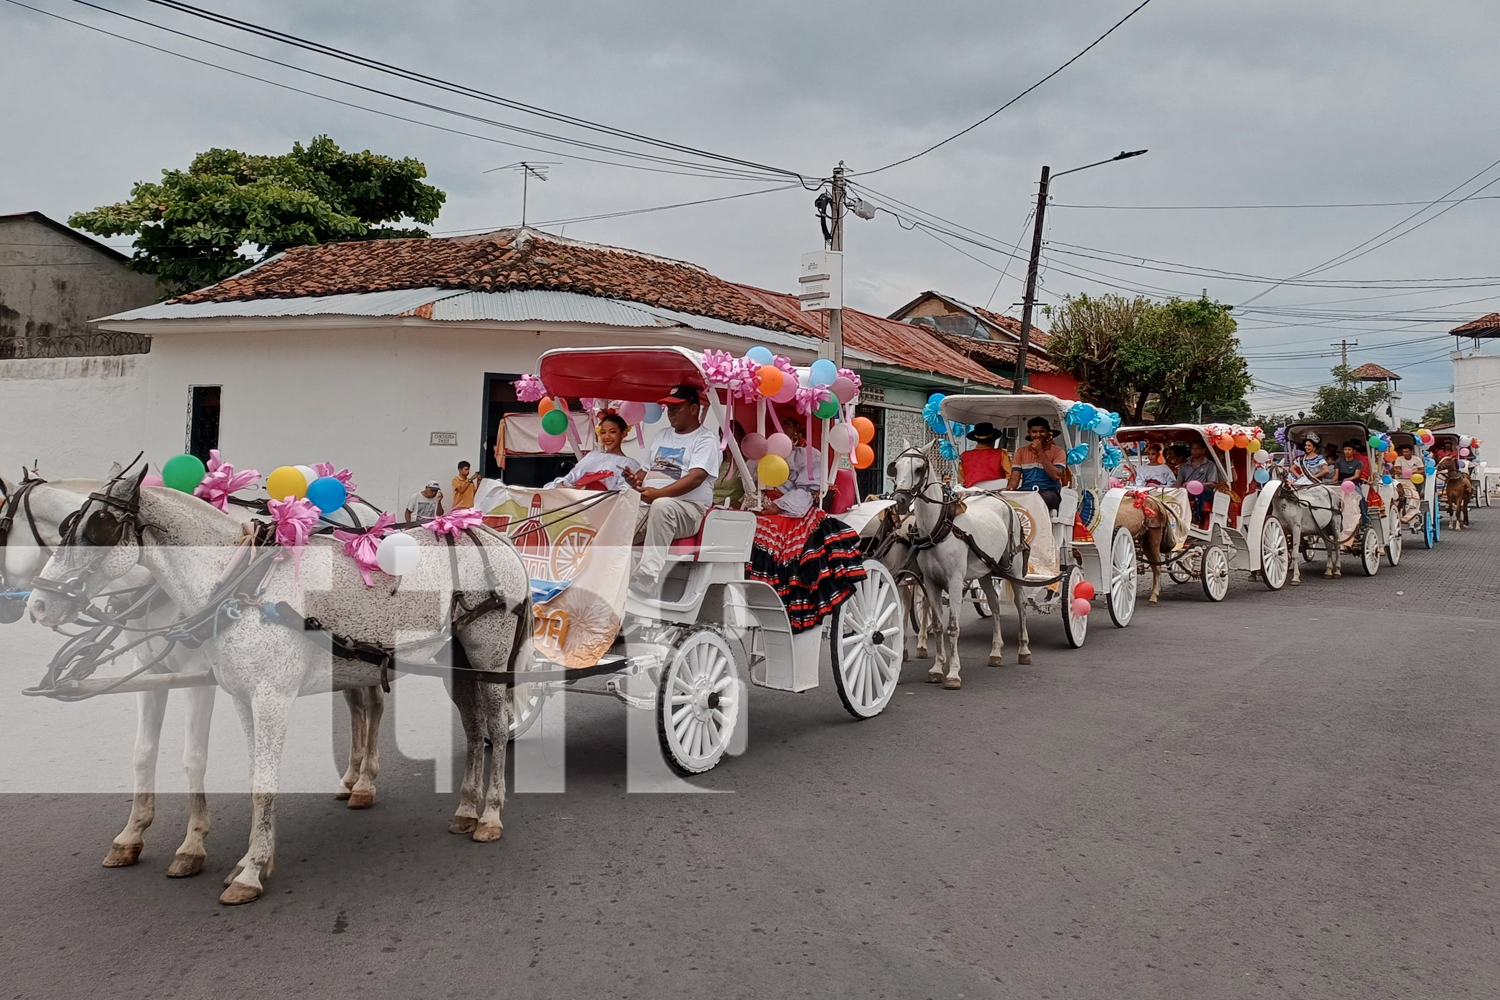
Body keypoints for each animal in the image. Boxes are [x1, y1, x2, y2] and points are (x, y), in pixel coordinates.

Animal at [24, 470, 534, 905]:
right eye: (67, 526)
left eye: (98, 528)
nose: (39, 604)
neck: (239, 582)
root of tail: (491, 534)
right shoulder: (240, 697)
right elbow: (250, 775)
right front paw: (250, 859)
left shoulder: (269, 699)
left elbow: (259, 783)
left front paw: (249, 872)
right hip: (458, 658)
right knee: (472, 726)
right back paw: (464, 808)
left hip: (489, 655)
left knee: (496, 724)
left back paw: (490, 813)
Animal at [888, 446, 1032, 689]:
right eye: (896, 468)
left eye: (919, 468)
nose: (899, 499)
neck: (939, 528)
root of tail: (1001, 500)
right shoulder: (930, 582)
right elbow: (937, 625)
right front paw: (937, 668)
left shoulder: (955, 582)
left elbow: (953, 627)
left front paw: (953, 673)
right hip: (985, 571)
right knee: (994, 605)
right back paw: (995, 653)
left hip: (1013, 568)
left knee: (1021, 605)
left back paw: (1023, 650)